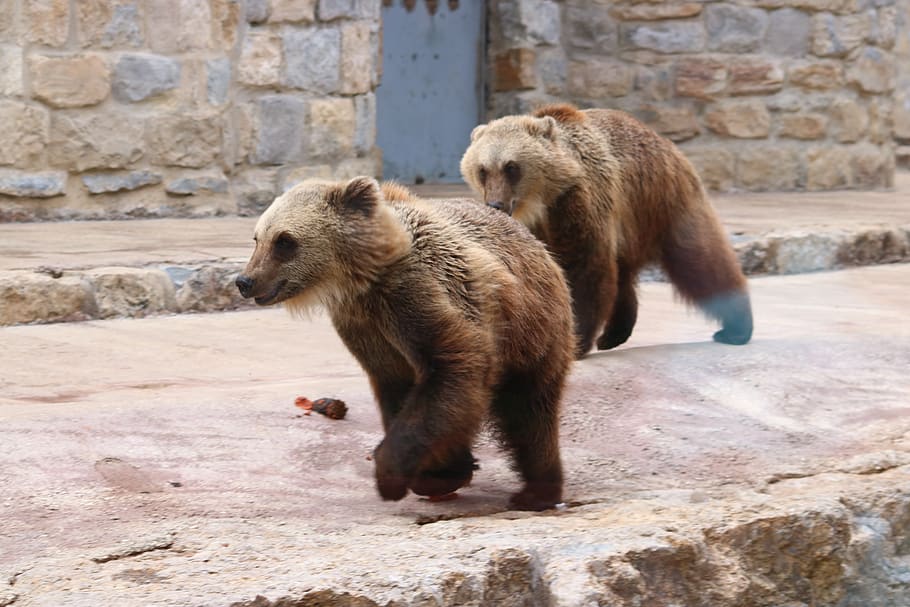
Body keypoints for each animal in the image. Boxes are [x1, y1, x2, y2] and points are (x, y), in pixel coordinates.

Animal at [235, 177, 575, 511]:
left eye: (284, 241)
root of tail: (537, 244)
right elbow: (399, 387)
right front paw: (439, 472)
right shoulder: (365, 329)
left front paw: (393, 476)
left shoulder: (417, 292)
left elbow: (453, 365)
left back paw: (536, 493)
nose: (245, 281)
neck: (361, 279)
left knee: (530, 412)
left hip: (533, 333)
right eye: (257, 238)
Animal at [460, 103, 753, 358]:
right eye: (482, 170)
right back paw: (613, 335)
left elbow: (586, 268)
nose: (495, 204)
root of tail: (669, 145)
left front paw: (577, 340)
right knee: (624, 277)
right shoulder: (535, 229)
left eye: (511, 167)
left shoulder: (581, 204)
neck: (542, 200)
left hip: (663, 201)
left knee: (701, 260)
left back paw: (736, 329)